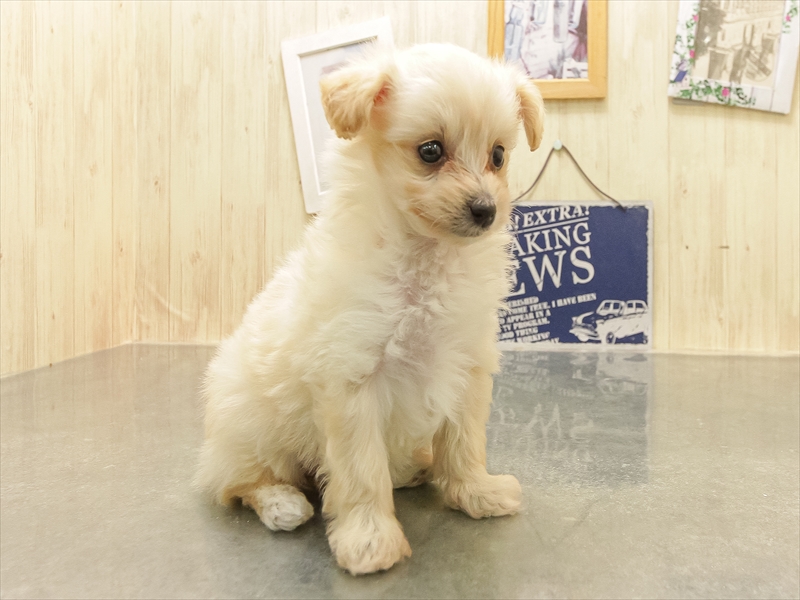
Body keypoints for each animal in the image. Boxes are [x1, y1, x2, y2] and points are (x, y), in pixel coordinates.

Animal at [196, 43, 544, 575]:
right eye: (430, 151)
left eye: (499, 155)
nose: (486, 210)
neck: (426, 257)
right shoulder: (352, 380)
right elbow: (361, 470)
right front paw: (369, 540)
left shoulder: (466, 367)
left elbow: (464, 442)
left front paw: (475, 492)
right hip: (252, 427)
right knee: (239, 483)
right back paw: (281, 503)